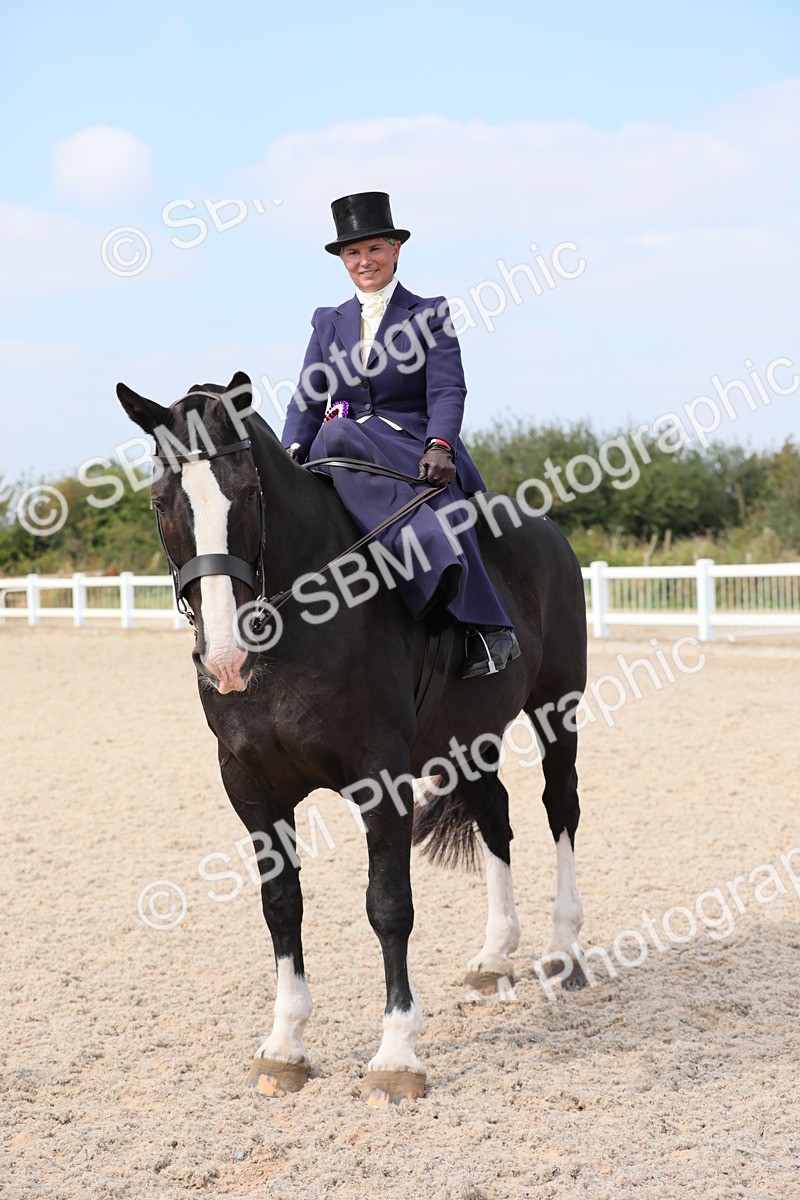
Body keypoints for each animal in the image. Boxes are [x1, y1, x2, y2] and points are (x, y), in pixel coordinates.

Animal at [117, 371, 589, 1105]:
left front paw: (397, 1054)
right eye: (161, 501)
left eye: (246, 493)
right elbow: (281, 905)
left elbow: (389, 905)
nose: (224, 658)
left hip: (556, 709)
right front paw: (285, 1044)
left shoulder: (381, 778)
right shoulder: (249, 784)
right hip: (471, 734)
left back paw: (563, 951)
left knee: (559, 807)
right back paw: (494, 956)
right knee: (496, 818)